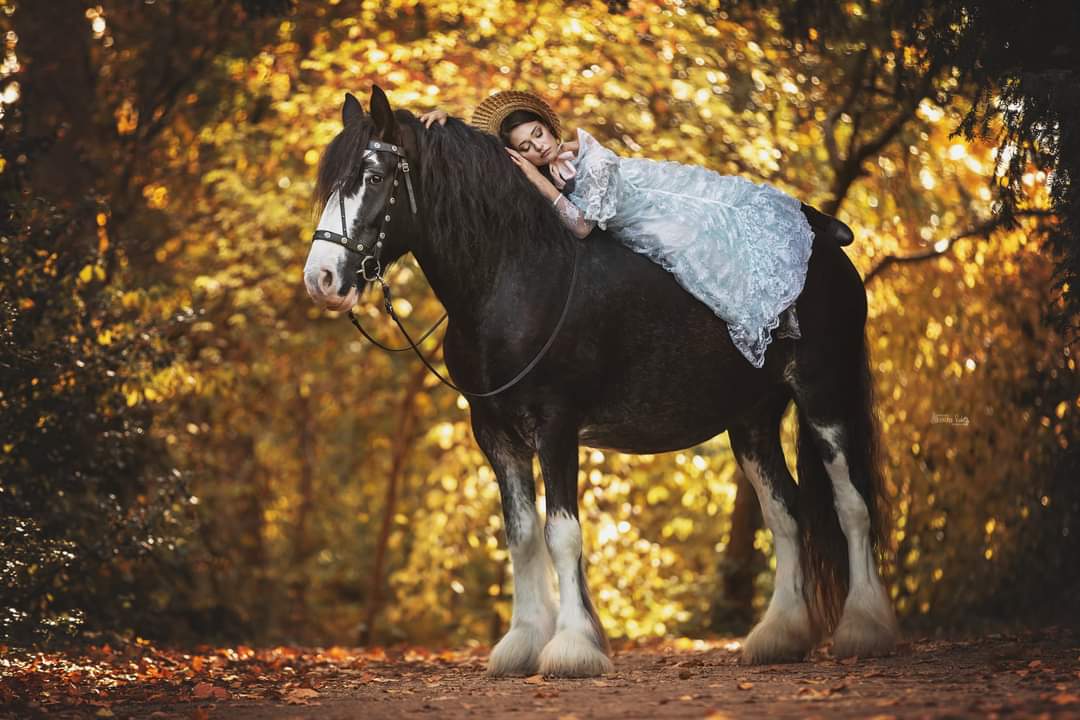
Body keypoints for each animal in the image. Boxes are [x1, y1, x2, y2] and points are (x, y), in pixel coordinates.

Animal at [302, 87, 894, 677]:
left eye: (374, 176)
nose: (321, 280)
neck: (514, 276)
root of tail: (830, 249)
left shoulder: (556, 427)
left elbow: (562, 534)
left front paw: (571, 647)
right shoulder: (495, 434)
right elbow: (521, 536)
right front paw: (522, 643)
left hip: (823, 393)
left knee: (851, 503)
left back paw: (863, 628)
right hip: (752, 420)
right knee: (785, 513)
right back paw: (780, 635)